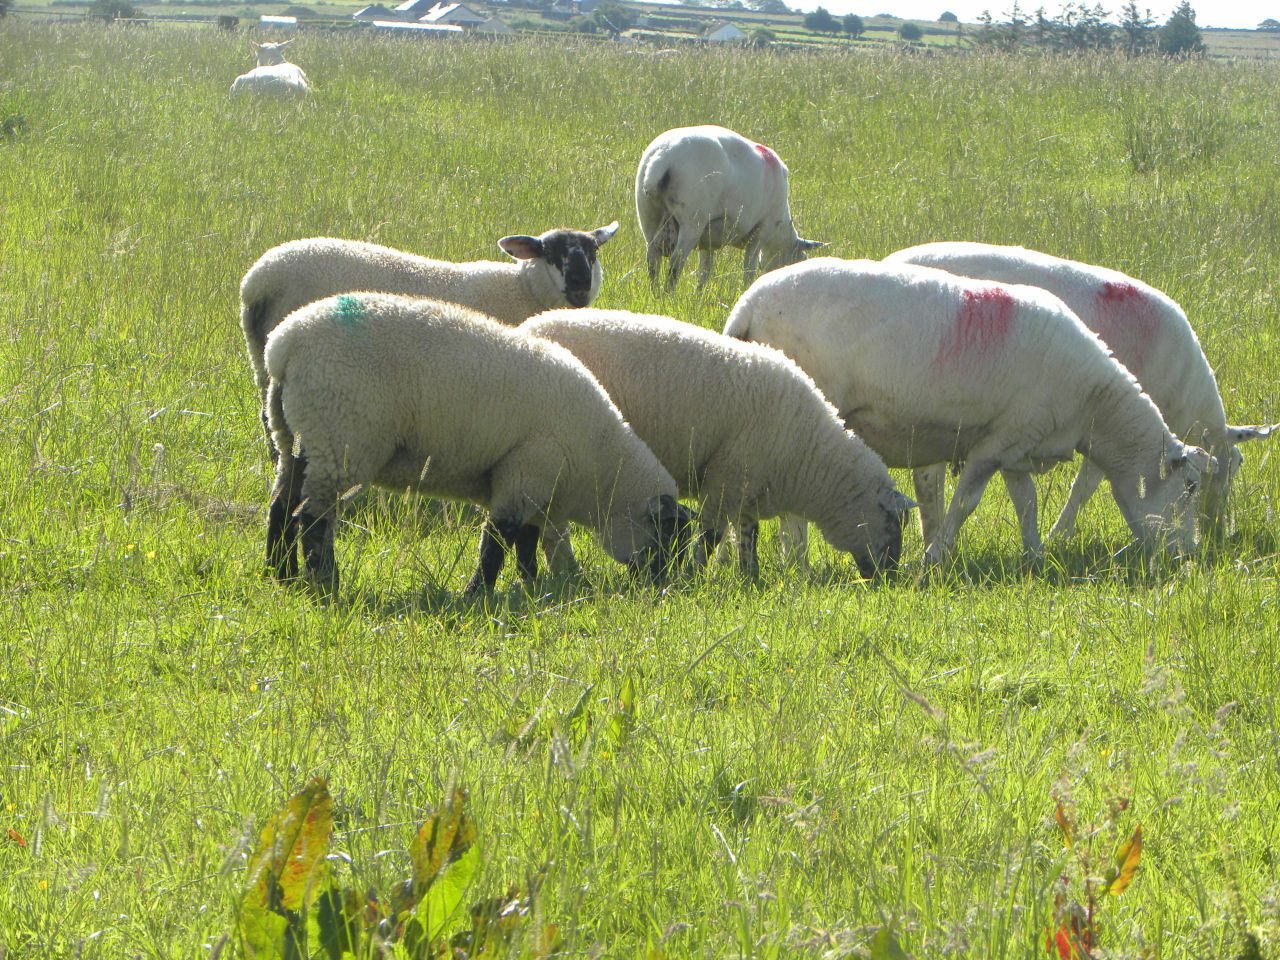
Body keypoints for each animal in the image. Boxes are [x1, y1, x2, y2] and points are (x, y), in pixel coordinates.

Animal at [264, 292, 693, 596]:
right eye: (666, 541)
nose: (660, 587)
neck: (600, 466)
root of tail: (283, 345)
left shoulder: (533, 486)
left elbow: (524, 540)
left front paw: (531, 585)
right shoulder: (525, 471)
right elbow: (497, 541)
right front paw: (478, 594)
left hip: (300, 435)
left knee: (283, 504)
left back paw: (280, 575)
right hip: (342, 435)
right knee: (313, 517)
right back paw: (324, 584)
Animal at [519, 309, 915, 579]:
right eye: (892, 523)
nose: (888, 580)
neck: (808, 453)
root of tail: (527, 327)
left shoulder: (748, 482)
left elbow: (748, 534)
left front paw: (750, 577)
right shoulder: (726, 477)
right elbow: (711, 535)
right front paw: (695, 576)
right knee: (553, 523)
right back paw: (566, 571)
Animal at [635, 125, 822, 291]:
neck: (780, 230)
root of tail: (662, 156)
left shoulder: (707, 240)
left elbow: (705, 271)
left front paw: (699, 295)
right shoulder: (761, 231)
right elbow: (749, 269)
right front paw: (746, 289)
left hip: (648, 217)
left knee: (652, 261)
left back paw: (656, 295)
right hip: (692, 220)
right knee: (675, 263)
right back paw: (669, 295)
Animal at [723, 258, 1214, 567]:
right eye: (1189, 487)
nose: (1188, 555)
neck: (1094, 403)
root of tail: (748, 306)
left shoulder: (1019, 442)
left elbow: (1027, 505)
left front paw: (1036, 558)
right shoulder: (995, 442)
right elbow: (965, 503)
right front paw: (934, 558)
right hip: (798, 408)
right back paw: (799, 562)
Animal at [884, 241, 1276, 540]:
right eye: (1228, 468)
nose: (1219, 533)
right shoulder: (1111, 418)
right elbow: (1085, 485)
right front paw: (1060, 534)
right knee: (927, 476)